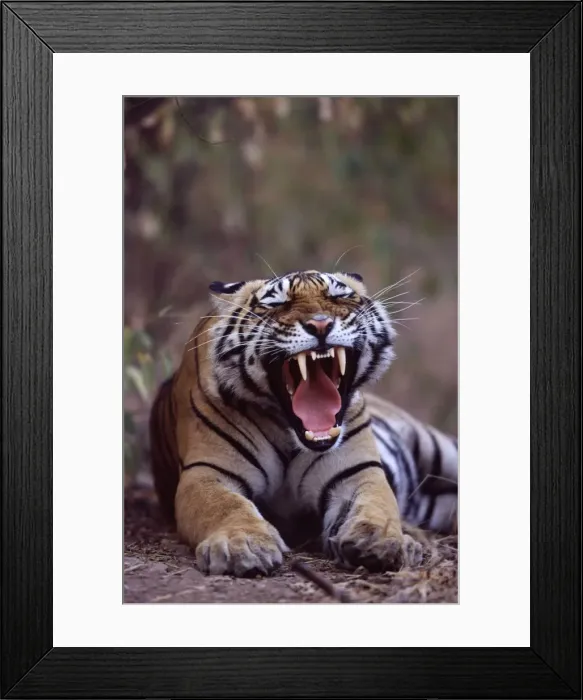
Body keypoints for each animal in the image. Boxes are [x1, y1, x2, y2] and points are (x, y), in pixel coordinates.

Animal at [149, 269, 458, 577]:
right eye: (276, 303)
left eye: (339, 296)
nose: (320, 325)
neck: (288, 432)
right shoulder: (207, 473)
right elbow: (226, 506)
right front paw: (243, 545)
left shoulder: (357, 472)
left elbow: (376, 503)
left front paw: (377, 538)